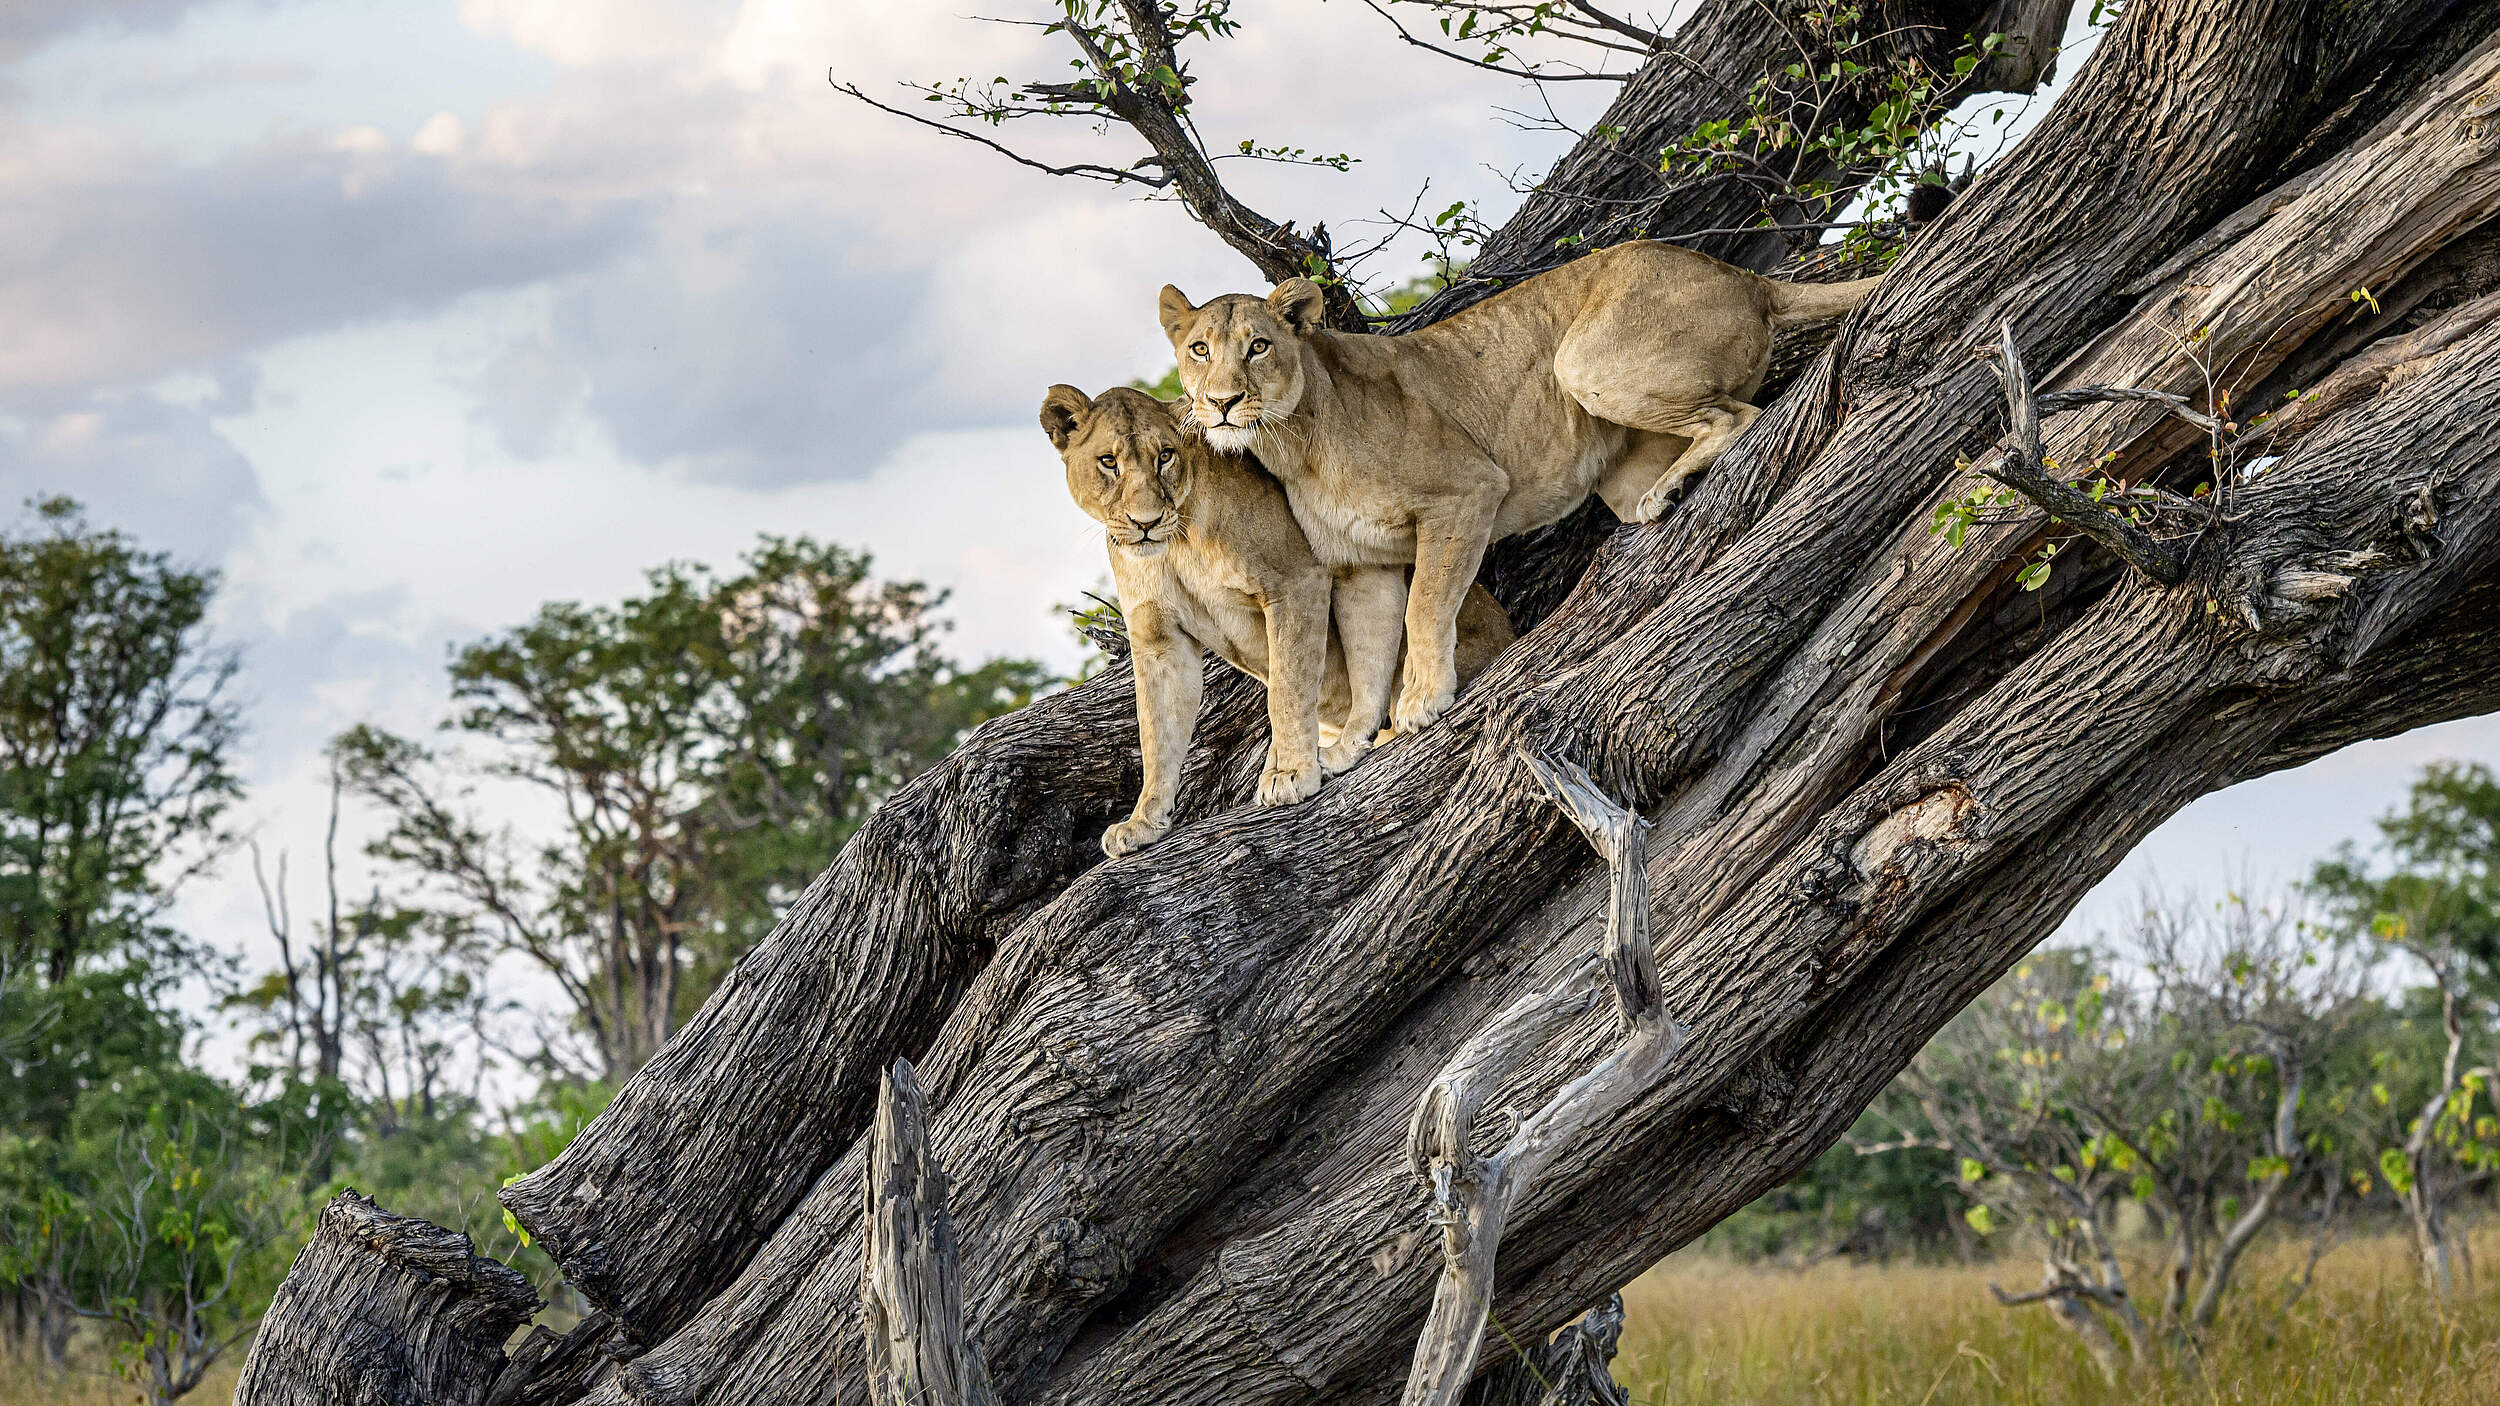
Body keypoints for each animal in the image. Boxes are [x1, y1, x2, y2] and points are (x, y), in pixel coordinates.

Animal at [1043, 385, 1515, 857]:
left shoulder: (1295, 582)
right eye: (1108, 461)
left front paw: (1289, 774)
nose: (1147, 522)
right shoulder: (1159, 640)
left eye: (1165, 456)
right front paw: (1143, 822)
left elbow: (1287, 689)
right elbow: (1157, 733)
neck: (1176, 542)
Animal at [1159, 239, 1879, 736]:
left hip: (1583, 363)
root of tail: (1744, 276)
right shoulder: (1360, 563)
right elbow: (1370, 651)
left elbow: (1426, 608)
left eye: (1257, 347)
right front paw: (1369, 730)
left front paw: (1422, 701)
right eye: (1199, 350)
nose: (1221, 402)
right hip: (1613, 452)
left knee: (1738, 416)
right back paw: (1663, 493)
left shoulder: (1466, 493)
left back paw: (1670, 490)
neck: (1292, 442)